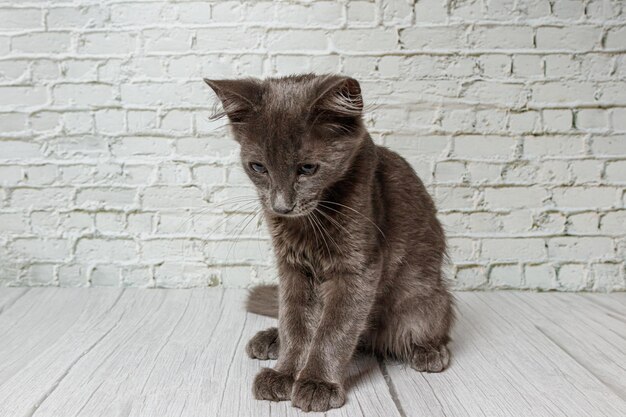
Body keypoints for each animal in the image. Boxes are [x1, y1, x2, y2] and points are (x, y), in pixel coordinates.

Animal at [205, 74, 454, 410]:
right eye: (258, 167)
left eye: (307, 168)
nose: (281, 206)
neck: (307, 224)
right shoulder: (291, 267)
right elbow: (295, 322)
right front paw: (284, 373)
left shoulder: (357, 268)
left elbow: (334, 329)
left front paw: (317, 383)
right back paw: (271, 338)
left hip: (421, 301)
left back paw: (428, 350)